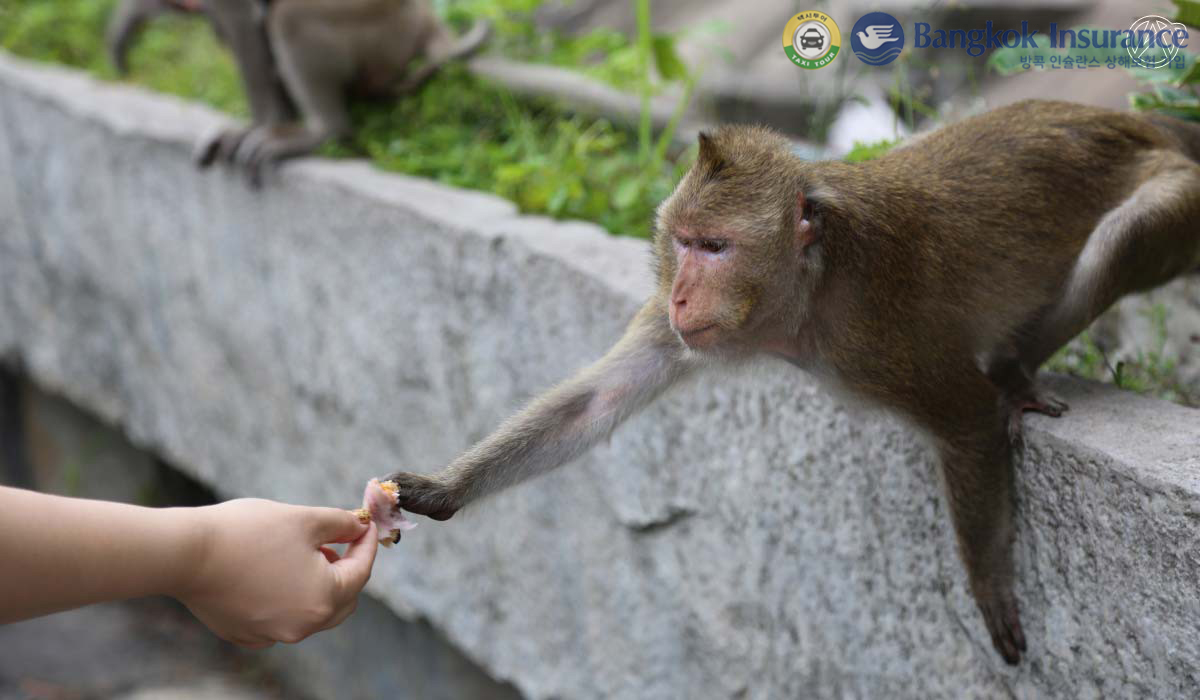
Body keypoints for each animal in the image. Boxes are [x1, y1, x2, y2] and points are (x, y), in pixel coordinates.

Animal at [105, 0, 489, 183]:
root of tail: (425, 21)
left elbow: (243, 20)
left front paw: (264, 128)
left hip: (377, 29)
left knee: (287, 15)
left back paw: (320, 132)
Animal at [384, 98, 1200, 662]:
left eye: (716, 247)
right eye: (681, 243)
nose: (682, 298)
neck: (811, 285)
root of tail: (1144, 122)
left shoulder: (878, 340)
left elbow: (967, 416)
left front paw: (989, 587)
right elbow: (593, 403)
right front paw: (440, 490)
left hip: (1180, 200)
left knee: (1123, 237)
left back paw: (1013, 369)